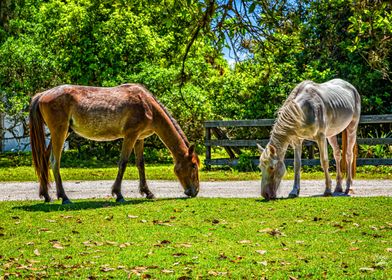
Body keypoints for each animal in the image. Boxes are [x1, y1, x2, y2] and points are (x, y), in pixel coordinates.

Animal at [28, 83, 199, 203]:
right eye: (193, 165)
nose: (194, 191)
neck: (147, 105)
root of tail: (43, 94)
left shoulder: (139, 138)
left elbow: (140, 164)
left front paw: (147, 192)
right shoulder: (130, 135)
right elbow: (123, 162)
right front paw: (118, 194)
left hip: (61, 133)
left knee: (44, 158)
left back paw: (46, 195)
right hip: (60, 132)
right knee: (54, 161)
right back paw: (64, 197)